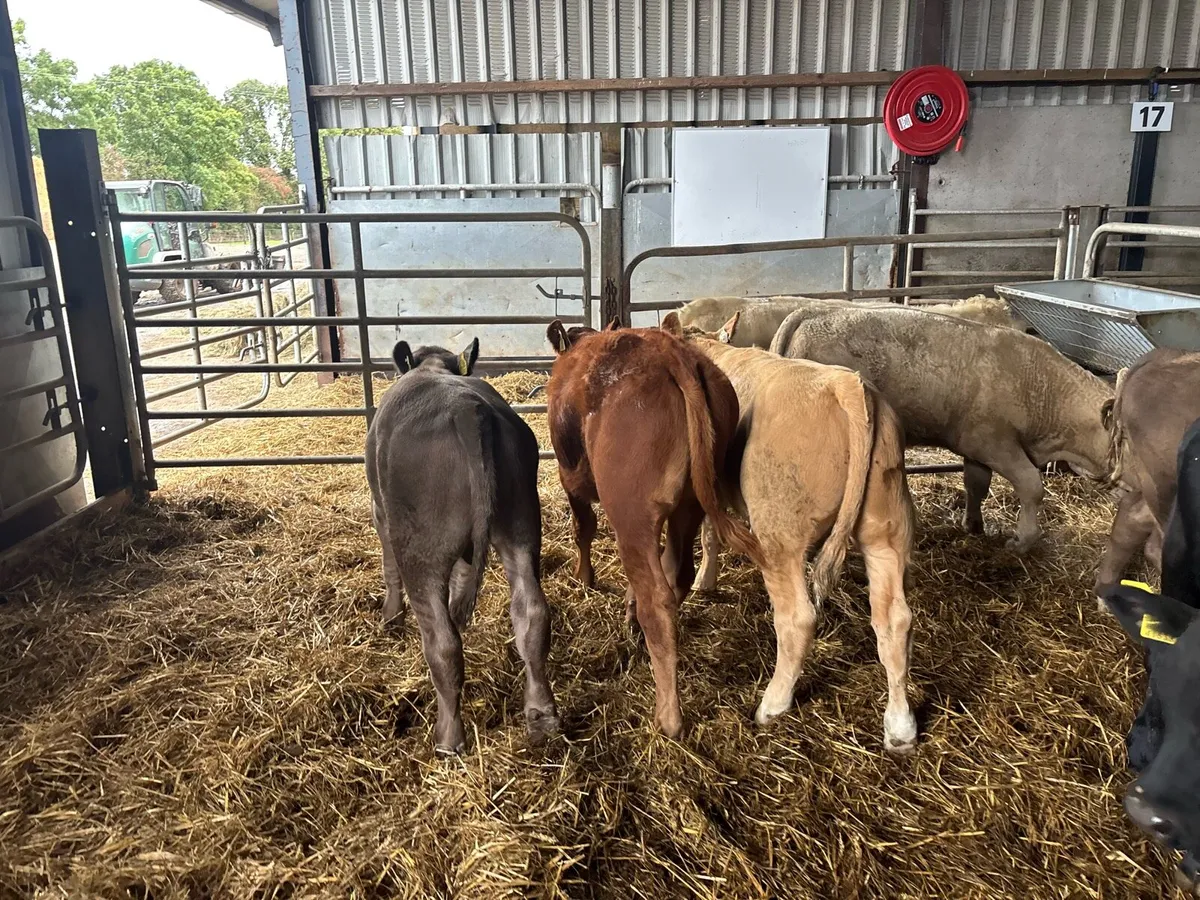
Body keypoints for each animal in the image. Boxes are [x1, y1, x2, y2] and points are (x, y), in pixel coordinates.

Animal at [364, 338, 559, 754]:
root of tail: (469, 411)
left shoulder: (380, 509)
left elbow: (388, 567)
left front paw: (390, 616)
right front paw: (460, 609)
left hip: (418, 547)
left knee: (442, 642)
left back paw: (448, 737)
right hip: (521, 524)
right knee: (531, 611)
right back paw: (541, 714)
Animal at [545, 319, 762, 738]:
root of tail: (669, 352)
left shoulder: (570, 477)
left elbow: (583, 528)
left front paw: (585, 577)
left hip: (632, 512)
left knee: (656, 596)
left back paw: (668, 716)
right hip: (689, 505)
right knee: (677, 571)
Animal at [663, 311, 919, 754]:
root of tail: (845, 385)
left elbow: (710, 536)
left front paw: (703, 582)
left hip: (779, 533)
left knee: (798, 618)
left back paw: (772, 704)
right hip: (885, 525)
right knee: (894, 619)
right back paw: (900, 727)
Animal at [770, 305, 1112, 554]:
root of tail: (810, 312)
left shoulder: (974, 446)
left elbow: (976, 484)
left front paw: (973, 524)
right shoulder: (995, 442)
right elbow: (1031, 486)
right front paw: (1022, 541)